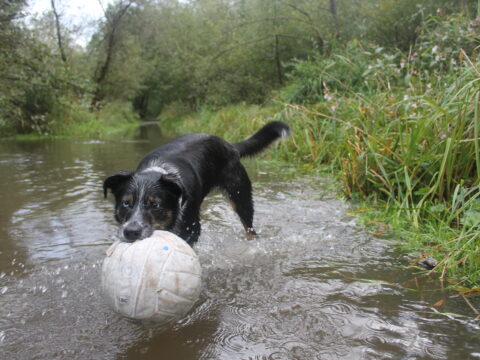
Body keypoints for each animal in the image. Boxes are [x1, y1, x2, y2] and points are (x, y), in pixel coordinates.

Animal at [104, 121, 288, 245]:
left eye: (155, 205)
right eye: (126, 203)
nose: (131, 232)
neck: (158, 170)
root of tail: (229, 145)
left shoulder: (191, 230)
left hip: (240, 196)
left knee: (249, 228)